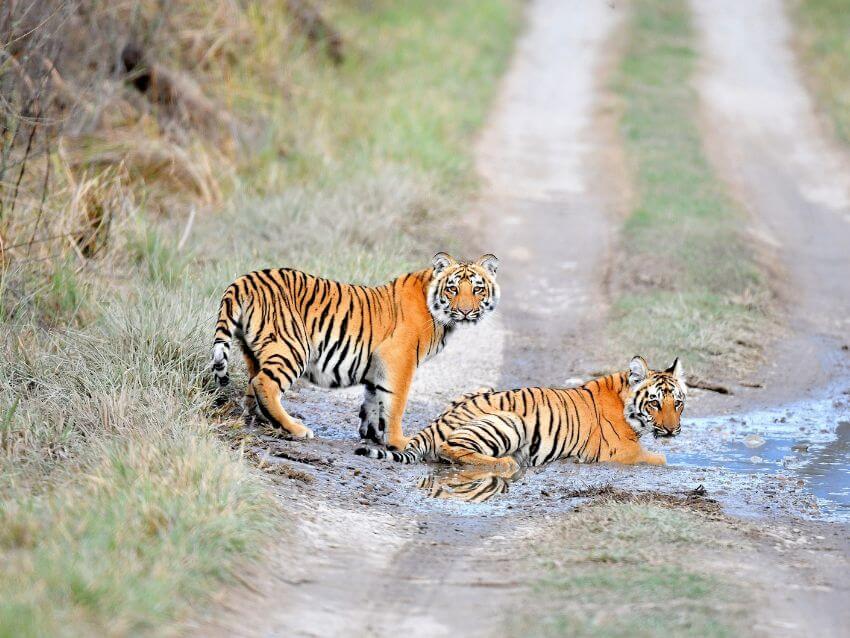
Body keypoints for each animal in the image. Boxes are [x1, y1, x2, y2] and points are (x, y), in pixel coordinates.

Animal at [212, 252, 500, 448]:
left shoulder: (378, 365)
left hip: (254, 351)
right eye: (452, 288)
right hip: (292, 348)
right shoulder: (398, 359)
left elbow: (374, 399)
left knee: (253, 384)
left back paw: (259, 418)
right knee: (265, 384)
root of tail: (246, 279)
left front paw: (372, 434)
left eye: (478, 289)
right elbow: (396, 403)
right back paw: (295, 428)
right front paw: (399, 442)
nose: (465, 311)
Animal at [354, 358, 684, 472]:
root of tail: (434, 425)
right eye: (655, 404)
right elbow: (660, 458)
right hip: (510, 420)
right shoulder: (623, 451)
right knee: (451, 448)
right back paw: (506, 463)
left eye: (678, 403)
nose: (672, 431)